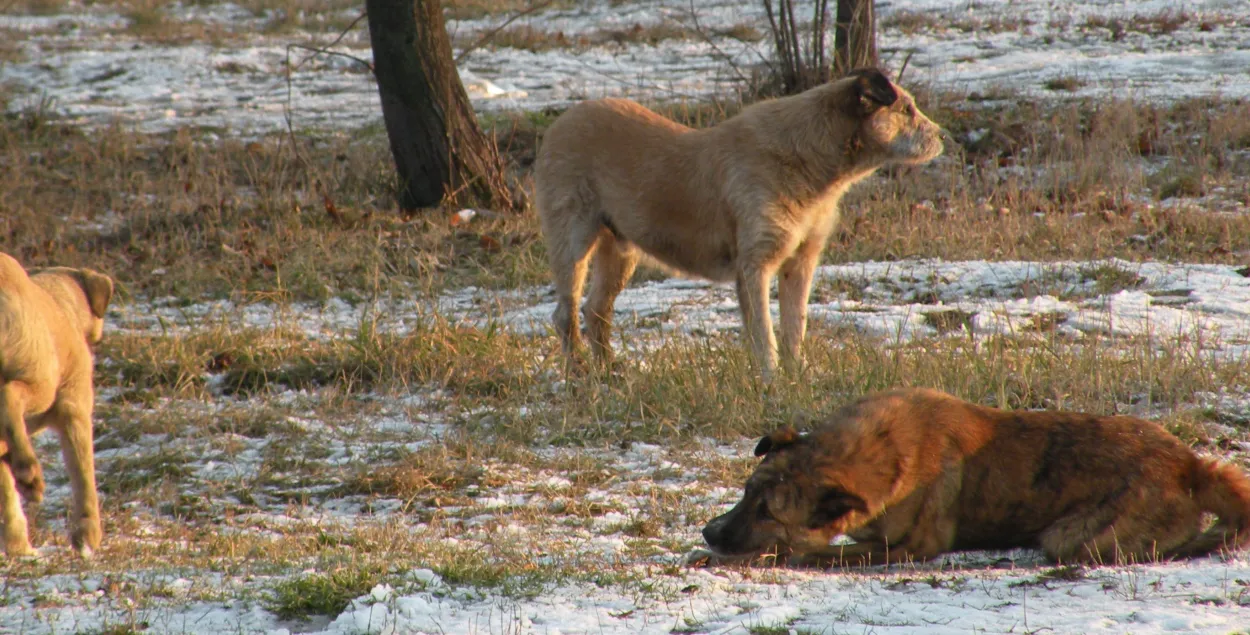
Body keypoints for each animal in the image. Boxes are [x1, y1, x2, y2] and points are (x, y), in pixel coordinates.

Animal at [0, 252, 113, 555]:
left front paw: (18, 547)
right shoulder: (75, 407)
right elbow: (83, 474)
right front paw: (88, 536)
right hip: (42, 377)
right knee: (10, 395)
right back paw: (29, 473)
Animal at [532, 67, 940, 380]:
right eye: (906, 109)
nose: (943, 136)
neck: (808, 158)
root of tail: (559, 123)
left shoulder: (800, 264)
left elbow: (795, 329)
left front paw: (797, 378)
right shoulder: (754, 266)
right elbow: (764, 335)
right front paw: (771, 384)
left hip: (621, 250)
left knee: (596, 311)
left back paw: (612, 373)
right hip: (573, 241)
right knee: (566, 313)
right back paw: (580, 374)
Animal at [695, 390, 1250, 567]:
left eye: (768, 511)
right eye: (745, 492)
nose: (708, 532)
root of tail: (1190, 463)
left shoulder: (910, 548)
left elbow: (810, 552)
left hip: (1074, 537)